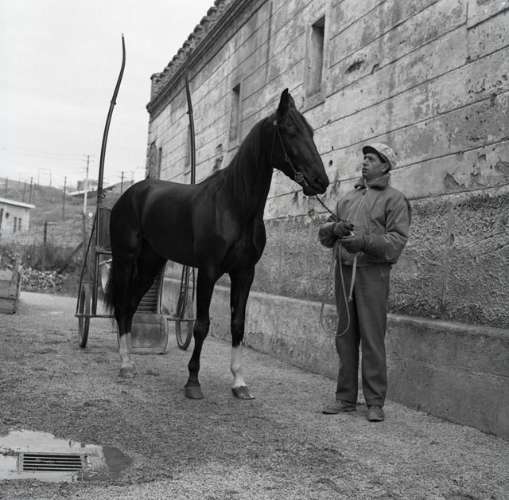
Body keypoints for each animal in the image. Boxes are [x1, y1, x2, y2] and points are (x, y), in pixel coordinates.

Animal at [104, 89, 329, 400]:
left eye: (311, 131)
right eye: (290, 130)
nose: (321, 181)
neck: (234, 206)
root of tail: (131, 194)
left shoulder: (244, 273)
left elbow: (238, 325)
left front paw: (239, 383)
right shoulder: (208, 271)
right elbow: (201, 325)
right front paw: (193, 382)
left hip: (151, 264)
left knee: (130, 305)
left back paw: (130, 362)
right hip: (125, 259)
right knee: (122, 305)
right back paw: (125, 364)